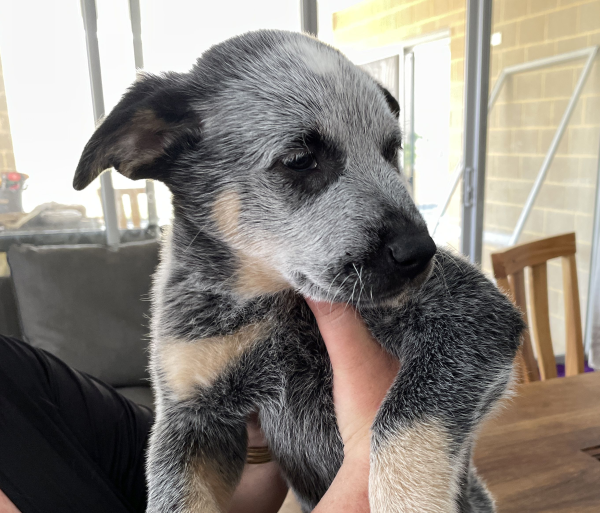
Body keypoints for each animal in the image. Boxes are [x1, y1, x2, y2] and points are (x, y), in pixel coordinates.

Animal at [72, 31, 524, 512]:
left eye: (391, 151)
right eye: (300, 159)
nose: (420, 252)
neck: (272, 302)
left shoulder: (475, 316)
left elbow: (401, 423)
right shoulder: (189, 414)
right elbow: (172, 498)